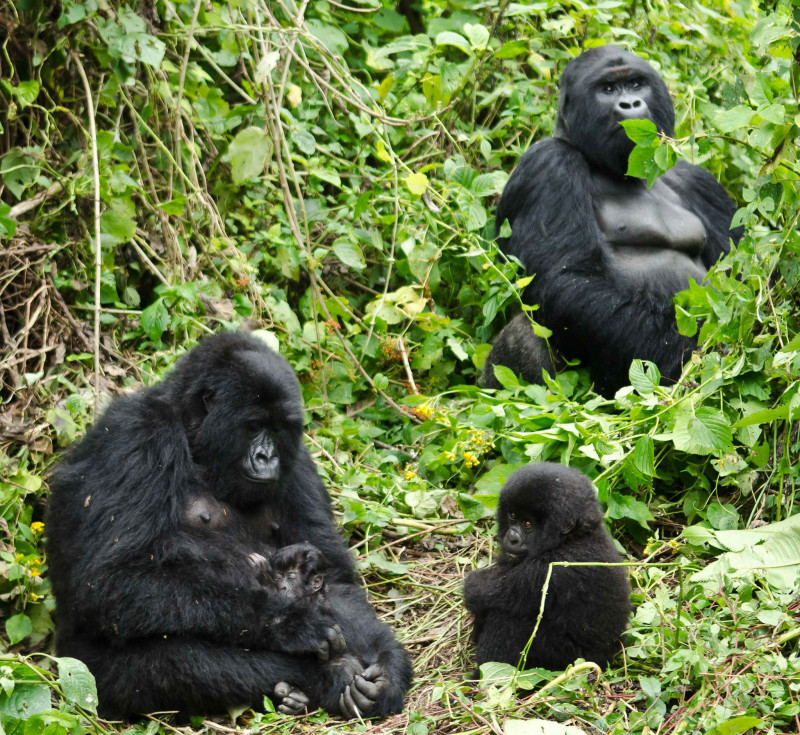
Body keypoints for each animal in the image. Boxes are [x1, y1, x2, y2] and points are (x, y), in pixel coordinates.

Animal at [462, 466, 632, 672]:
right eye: (512, 516)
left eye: (528, 524)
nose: (511, 538)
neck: (573, 537)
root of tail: (612, 653)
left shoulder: (549, 569)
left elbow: (481, 592)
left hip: (571, 659)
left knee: (506, 619)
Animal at [482, 47, 744, 396]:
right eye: (607, 89)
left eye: (635, 84)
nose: (630, 104)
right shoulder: (547, 163)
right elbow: (565, 280)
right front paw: (691, 351)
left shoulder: (697, 181)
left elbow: (740, 273)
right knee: (526, 331)